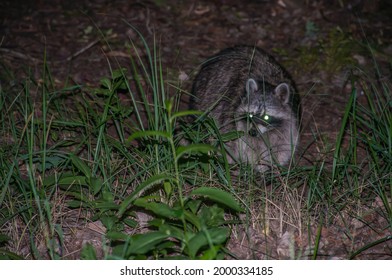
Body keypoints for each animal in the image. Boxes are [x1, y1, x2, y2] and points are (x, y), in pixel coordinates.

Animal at [191, 45, 300, 173]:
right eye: (251, 114)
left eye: (266, 117)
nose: (252, 132)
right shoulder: (232, 115)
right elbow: (239, 144)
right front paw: (252, 163)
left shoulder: (289, 120)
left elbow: (284, 144)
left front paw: (273, 164)